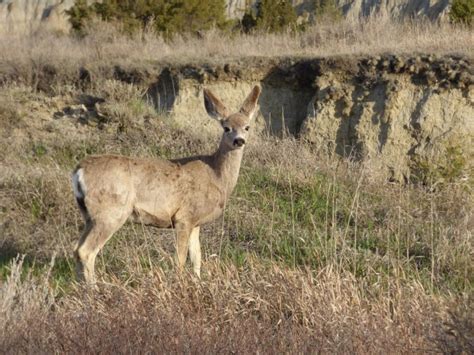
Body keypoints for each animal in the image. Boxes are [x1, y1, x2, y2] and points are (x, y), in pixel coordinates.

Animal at [72, 85, 262, 286]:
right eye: (226, 128)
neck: (216, 175)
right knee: (86, 251)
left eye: (247, 127)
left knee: (77, 249)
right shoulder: (183, 217)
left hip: (89, 215)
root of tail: (79, 171)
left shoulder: (195, 222)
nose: (239, 140)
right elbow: (180, 259)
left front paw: (198, 283)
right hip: (110, 212)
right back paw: (94, 289)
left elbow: (197, 258)